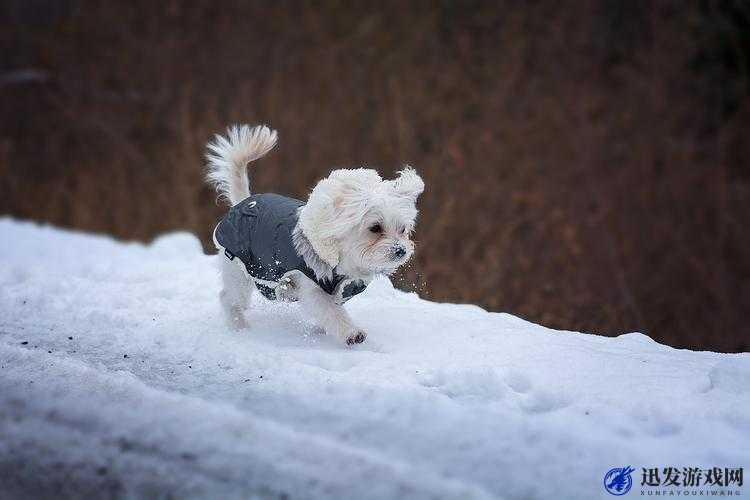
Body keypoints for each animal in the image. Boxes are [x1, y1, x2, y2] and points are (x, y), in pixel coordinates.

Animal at [206, 124, 426, 344]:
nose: (400, 250)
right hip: (239, 268)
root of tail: (243, 202)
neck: (343, 261)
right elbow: (331, 312)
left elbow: (331, 312)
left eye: (403, 230)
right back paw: (239, 326)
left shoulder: (340, 290)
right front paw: (351, 333)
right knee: (228, 298)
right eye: (375, 228)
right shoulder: (312, 287)